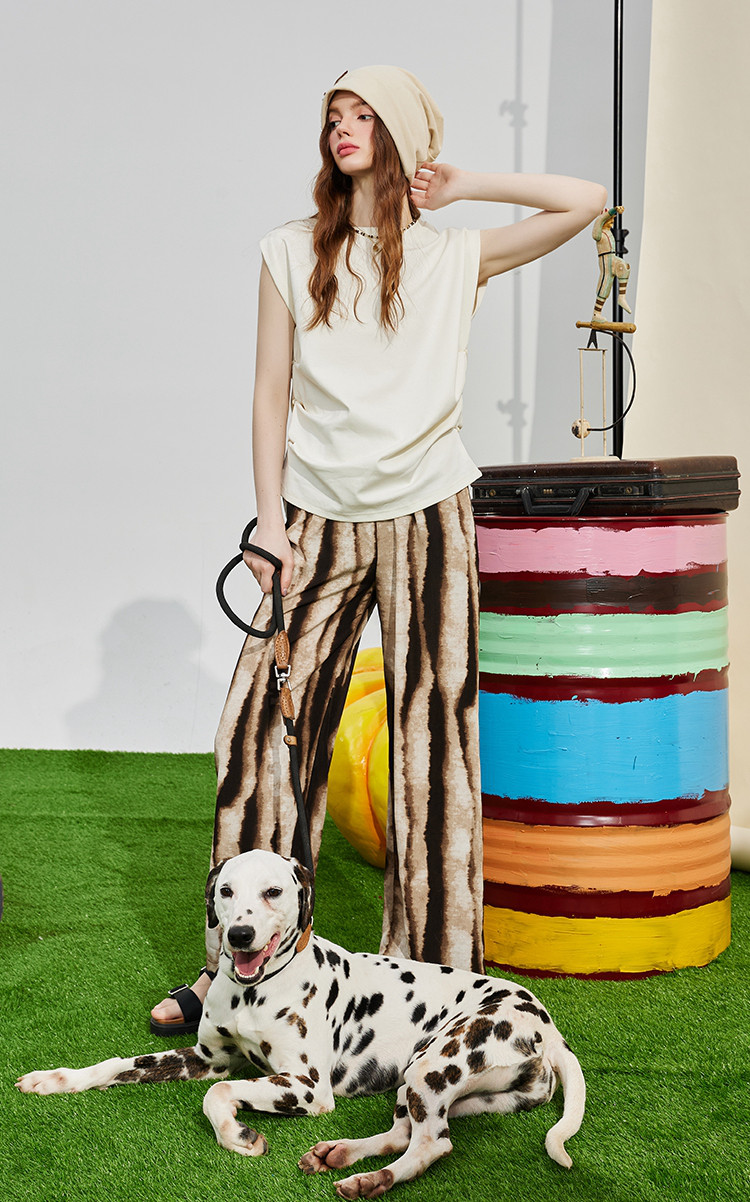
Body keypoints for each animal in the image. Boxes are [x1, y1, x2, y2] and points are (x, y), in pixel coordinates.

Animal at [17, 850, 585, 1196]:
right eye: (226, 890)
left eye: (273, 892)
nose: (240, 935)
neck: (252, 990)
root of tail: (548, 1027)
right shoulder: (204, 1059)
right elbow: (117, 1064)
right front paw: (55, 1078)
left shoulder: (307, 1087)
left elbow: (219, 1094)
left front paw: (236, 1134)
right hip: (432, 1084)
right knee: (406, 1131)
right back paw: (341, 1154)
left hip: (434, 1065)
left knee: (432, 1143)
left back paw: (372, 1179)